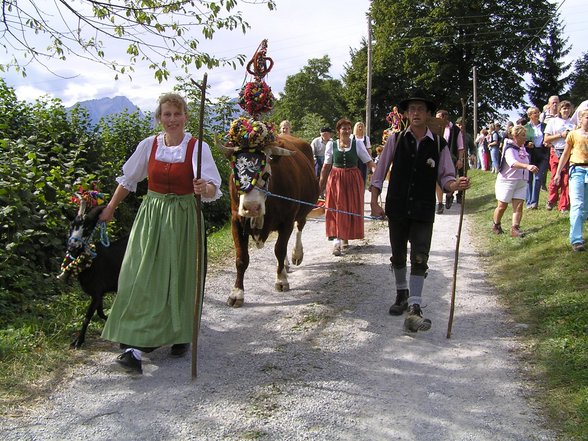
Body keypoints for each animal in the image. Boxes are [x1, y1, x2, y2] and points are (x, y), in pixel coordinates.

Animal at [58, 205, 129, 348]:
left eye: (87, 229)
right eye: (71, 226)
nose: (72, 246)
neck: (91, 263)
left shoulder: (97, 291)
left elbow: (87, 317)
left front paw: (78, 341)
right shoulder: (99, 293)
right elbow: (100, 313)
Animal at [223, 134, 320, 306]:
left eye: (266, 175)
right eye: (236, 175)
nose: (251, 207)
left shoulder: (287, 221)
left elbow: (279, 250)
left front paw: (281, 280)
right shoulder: (236, 221)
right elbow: (241, 259)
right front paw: (236, 293)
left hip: (303, 210)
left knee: (299, 228)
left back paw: (296, 255)